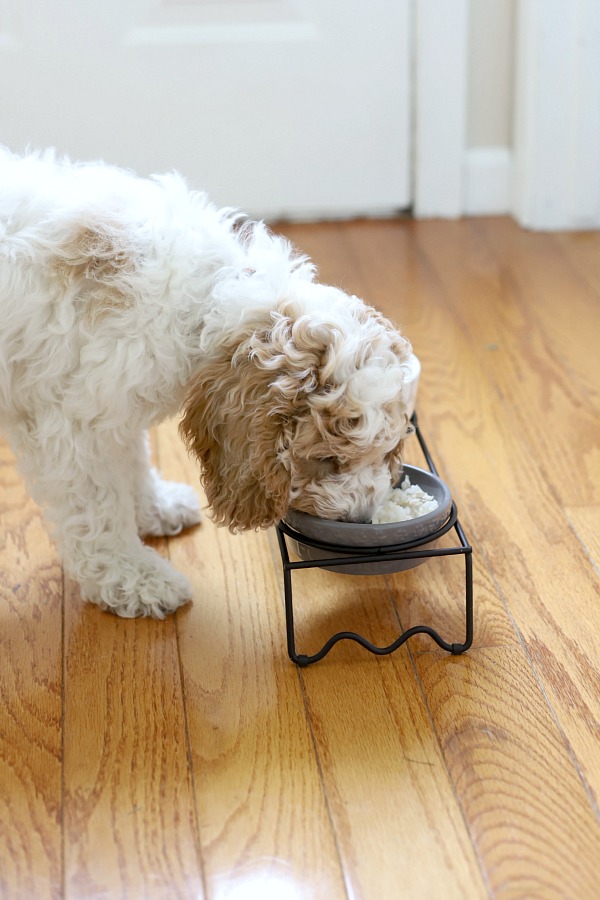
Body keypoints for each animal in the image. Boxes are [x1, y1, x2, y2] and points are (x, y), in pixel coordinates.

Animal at [0, 149, 414, 620]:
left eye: (386, 451)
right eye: (325, 459)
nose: (362, 520)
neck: (205, 300)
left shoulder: (111, 403)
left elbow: (131, 462)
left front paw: (154, 508)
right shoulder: (72, 424)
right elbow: (98, 508)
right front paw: (134, 579)